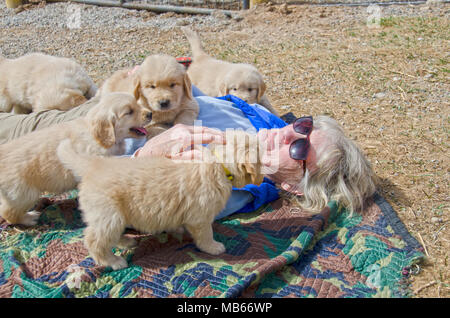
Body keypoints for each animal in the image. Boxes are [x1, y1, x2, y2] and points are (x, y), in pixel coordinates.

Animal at [0, 92, 151, 226]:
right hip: (23, 193)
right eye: (129, 112)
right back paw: (28, 218)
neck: (97, 136)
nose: (150, 114)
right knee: (8, 212)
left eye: (137, 103)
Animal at [57, 130, 266, 270]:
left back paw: (127, 242)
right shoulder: (200, 218)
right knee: (94, 240)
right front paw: (214, 247)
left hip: (113, 217)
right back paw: (114, 261)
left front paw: (176, 231)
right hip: (109, 215)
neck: (219, 164)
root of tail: (94, 164)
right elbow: (206, 235)